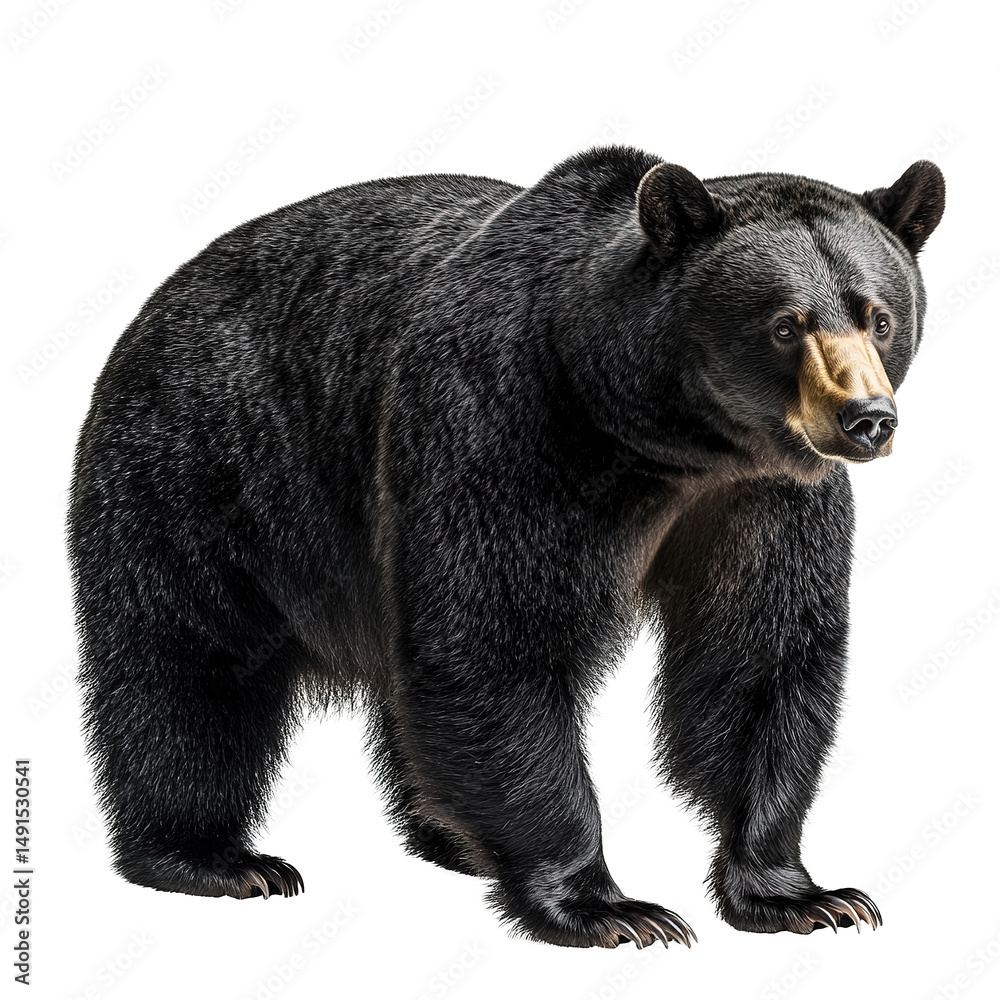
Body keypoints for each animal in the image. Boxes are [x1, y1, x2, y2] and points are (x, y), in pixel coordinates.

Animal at [67, 145, 945, 950]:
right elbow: (496, 643)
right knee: (188, 667)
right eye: (786, 323)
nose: (868, 419)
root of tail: (159, 299)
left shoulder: (764, 497)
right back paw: (213, 858)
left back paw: (450, 838)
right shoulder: (502, 427)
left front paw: (803, 894)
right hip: (204, 470)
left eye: (878, 316)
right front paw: (608, 907)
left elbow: (759, 659)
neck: (667, 440)